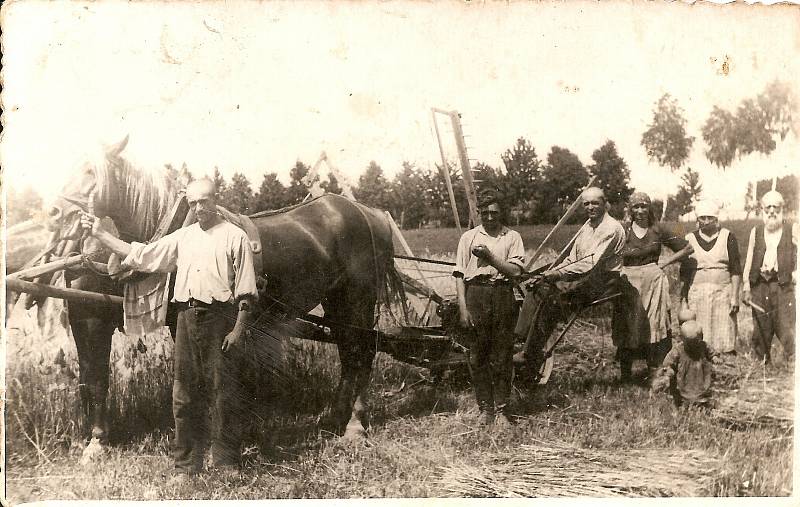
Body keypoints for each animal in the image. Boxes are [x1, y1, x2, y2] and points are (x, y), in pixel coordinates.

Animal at [46, 137, 396, 442]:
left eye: (90, 172)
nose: (54, 214)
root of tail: (370, 214)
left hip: (358, 298)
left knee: (360, 351)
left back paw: (355, 424)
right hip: (336, 302)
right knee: (349, 353)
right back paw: (335, 418)